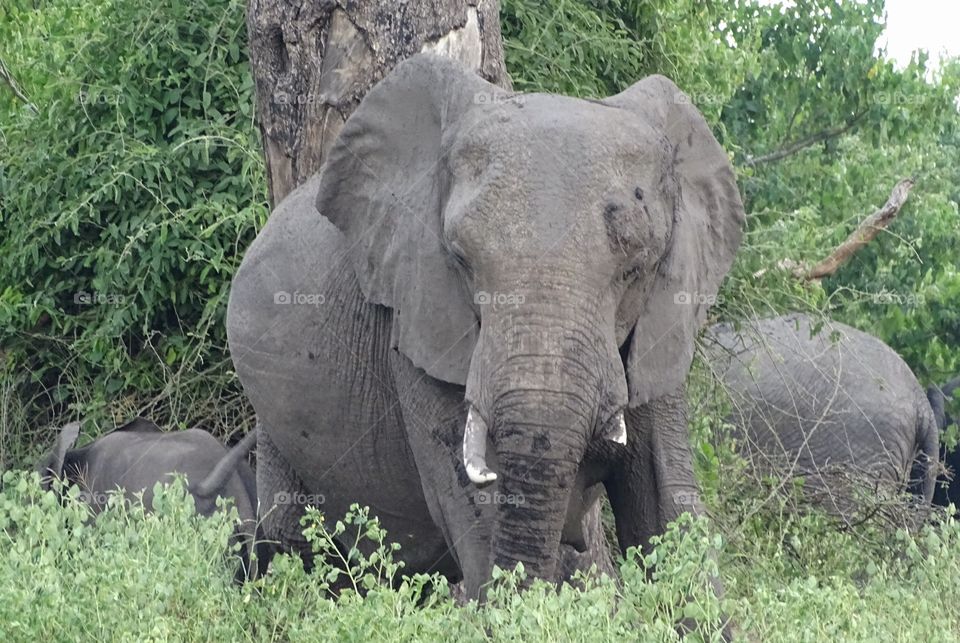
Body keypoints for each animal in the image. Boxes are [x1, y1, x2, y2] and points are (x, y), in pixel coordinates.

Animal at [226, 53, 744, 598]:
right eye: (460, 261)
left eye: (636, 270)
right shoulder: (417, 313)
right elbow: (477, 508)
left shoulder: (660, 322)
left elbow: (666, 498)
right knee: (297, 550)